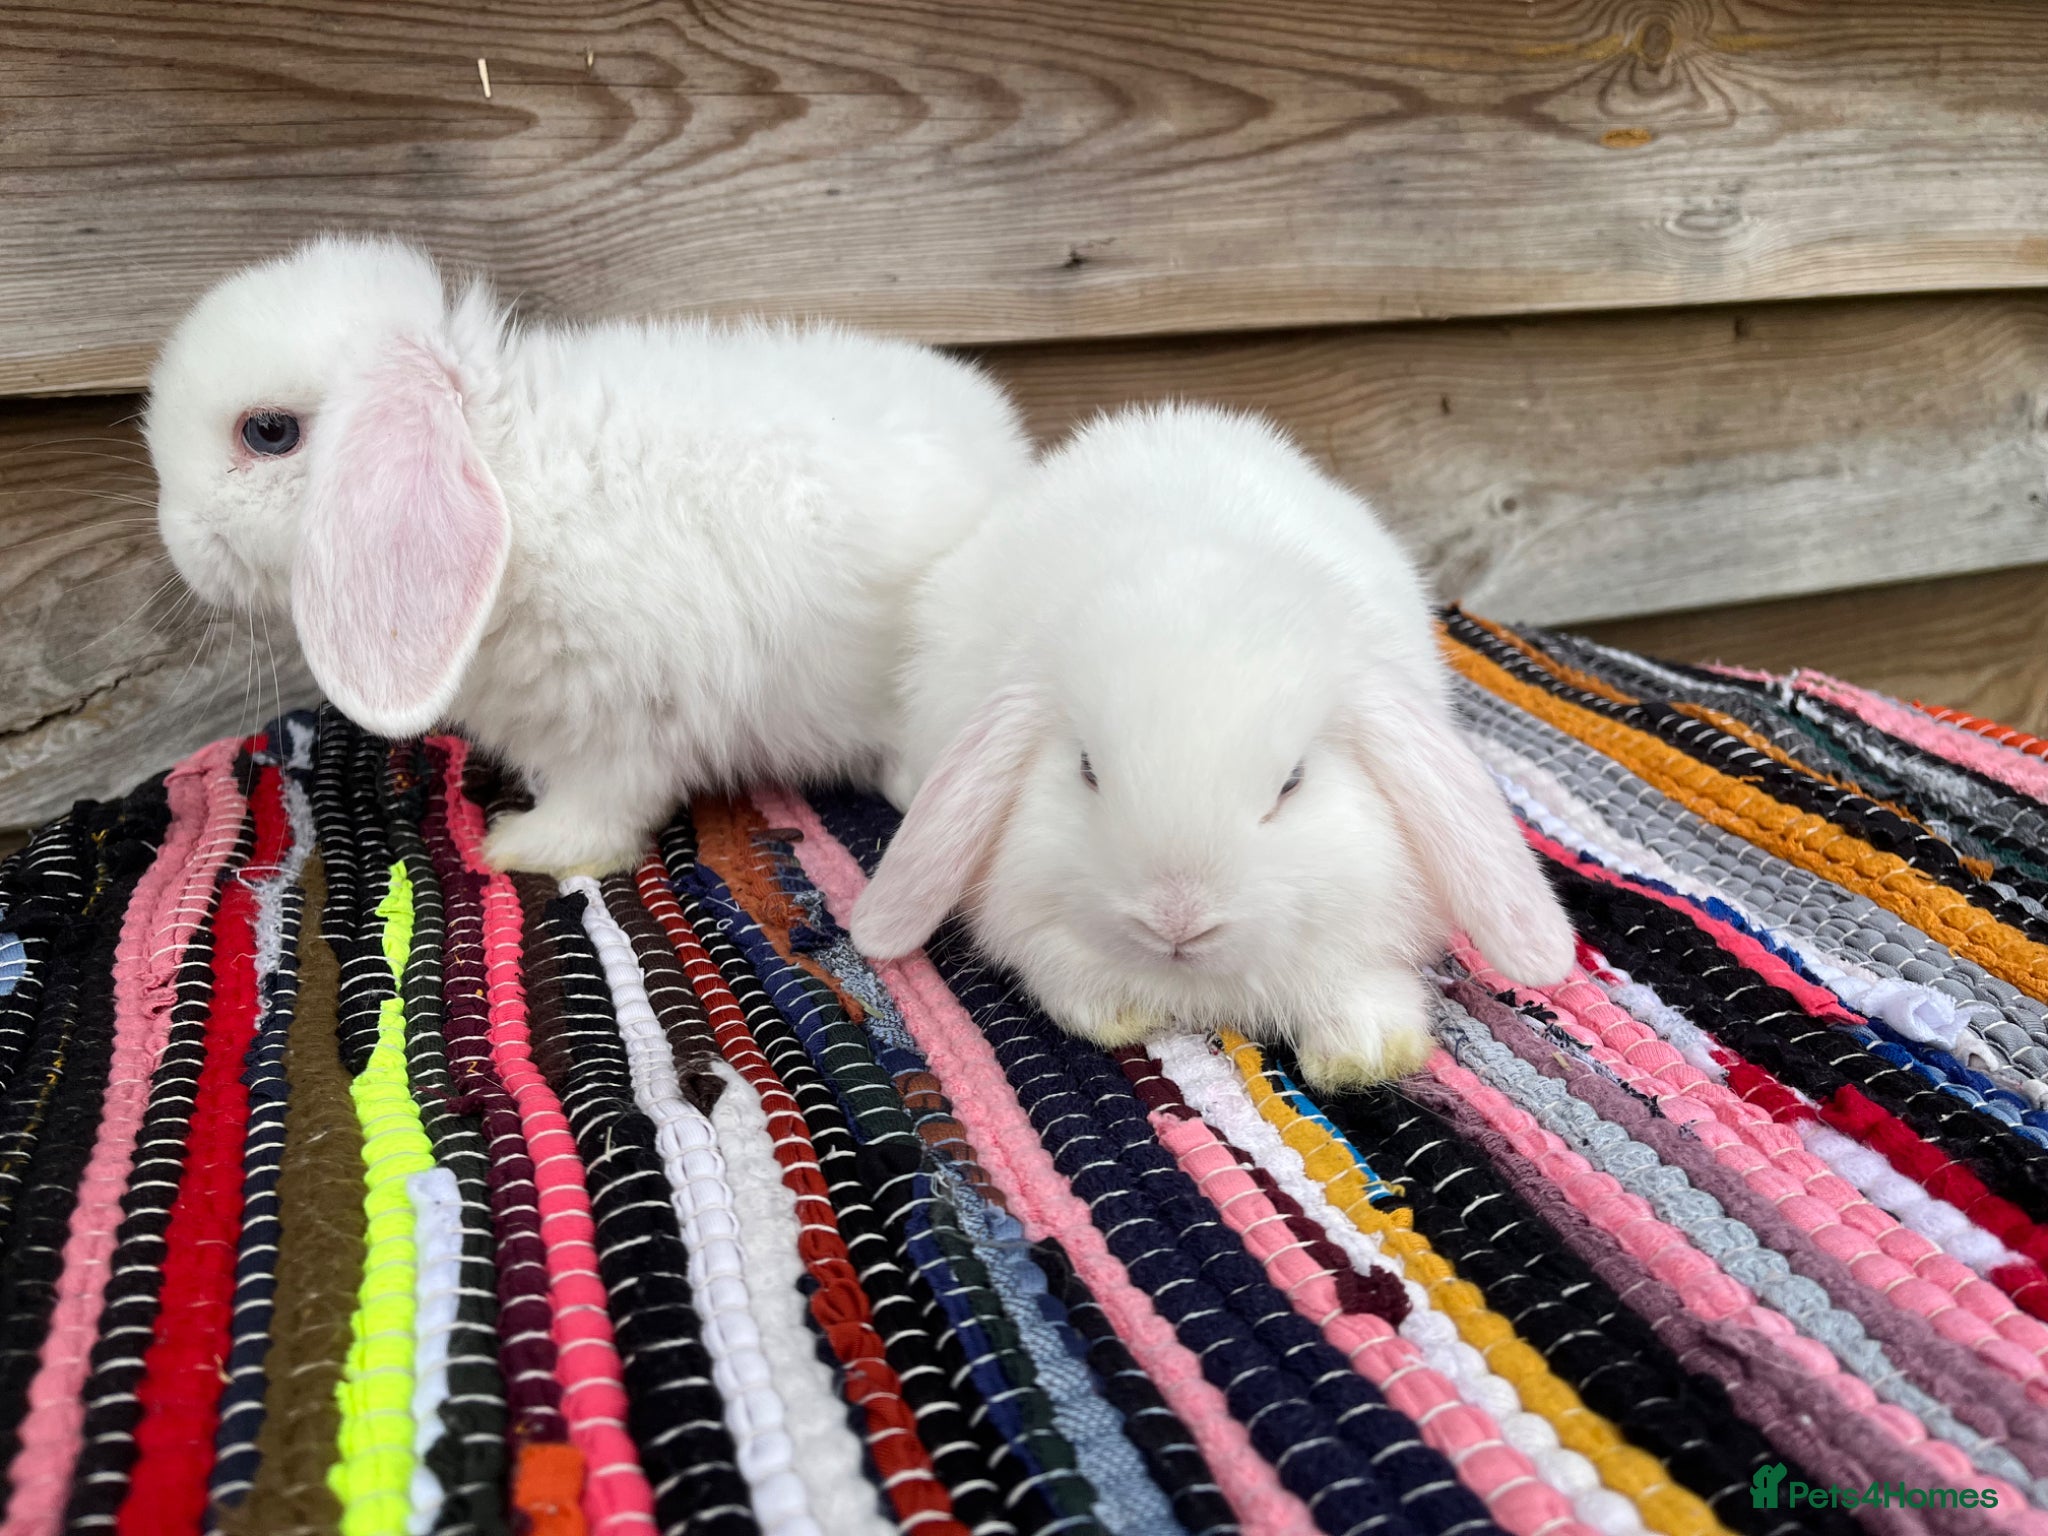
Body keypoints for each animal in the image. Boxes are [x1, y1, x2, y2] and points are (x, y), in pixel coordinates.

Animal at [146, 234, 1033, 875]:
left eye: (268, 432)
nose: (180, 543)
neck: (508, 479)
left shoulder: (627, 717)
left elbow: (605, 806)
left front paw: (519, 847)